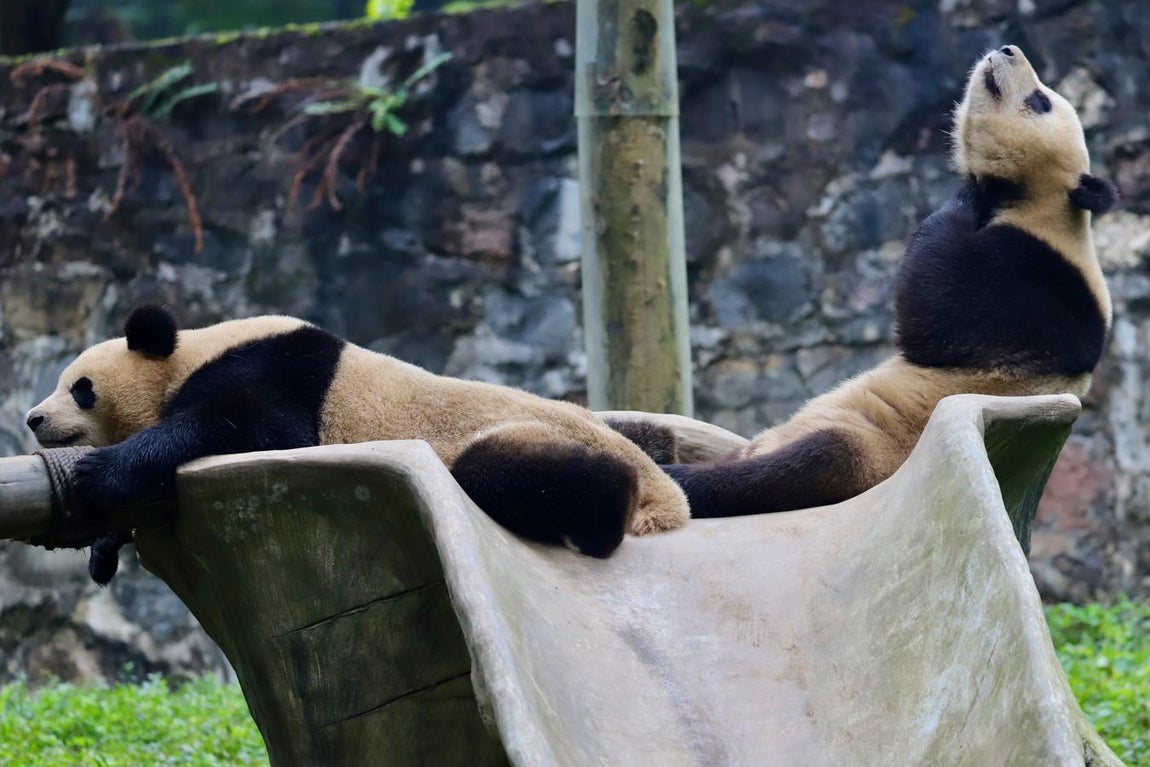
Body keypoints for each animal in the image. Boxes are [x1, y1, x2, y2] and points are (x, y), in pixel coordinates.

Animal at [25, 306, 690, 583]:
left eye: (81, 389)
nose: (33, 418)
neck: (186, 354)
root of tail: (669, 499)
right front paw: (103, 548)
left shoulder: (271, 371)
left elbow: (245, 427)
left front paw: (98, 472)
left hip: (502, 435)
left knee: (505, 473)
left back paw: (606, 512)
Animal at [662, 45, 1115, 518]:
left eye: (1041, 101)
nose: (1007, 49)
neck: (1041, 205)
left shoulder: (1040, 281)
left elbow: (940, 313)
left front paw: (961, 199)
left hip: (867, 451)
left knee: (803, 464)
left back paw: (681, 477)